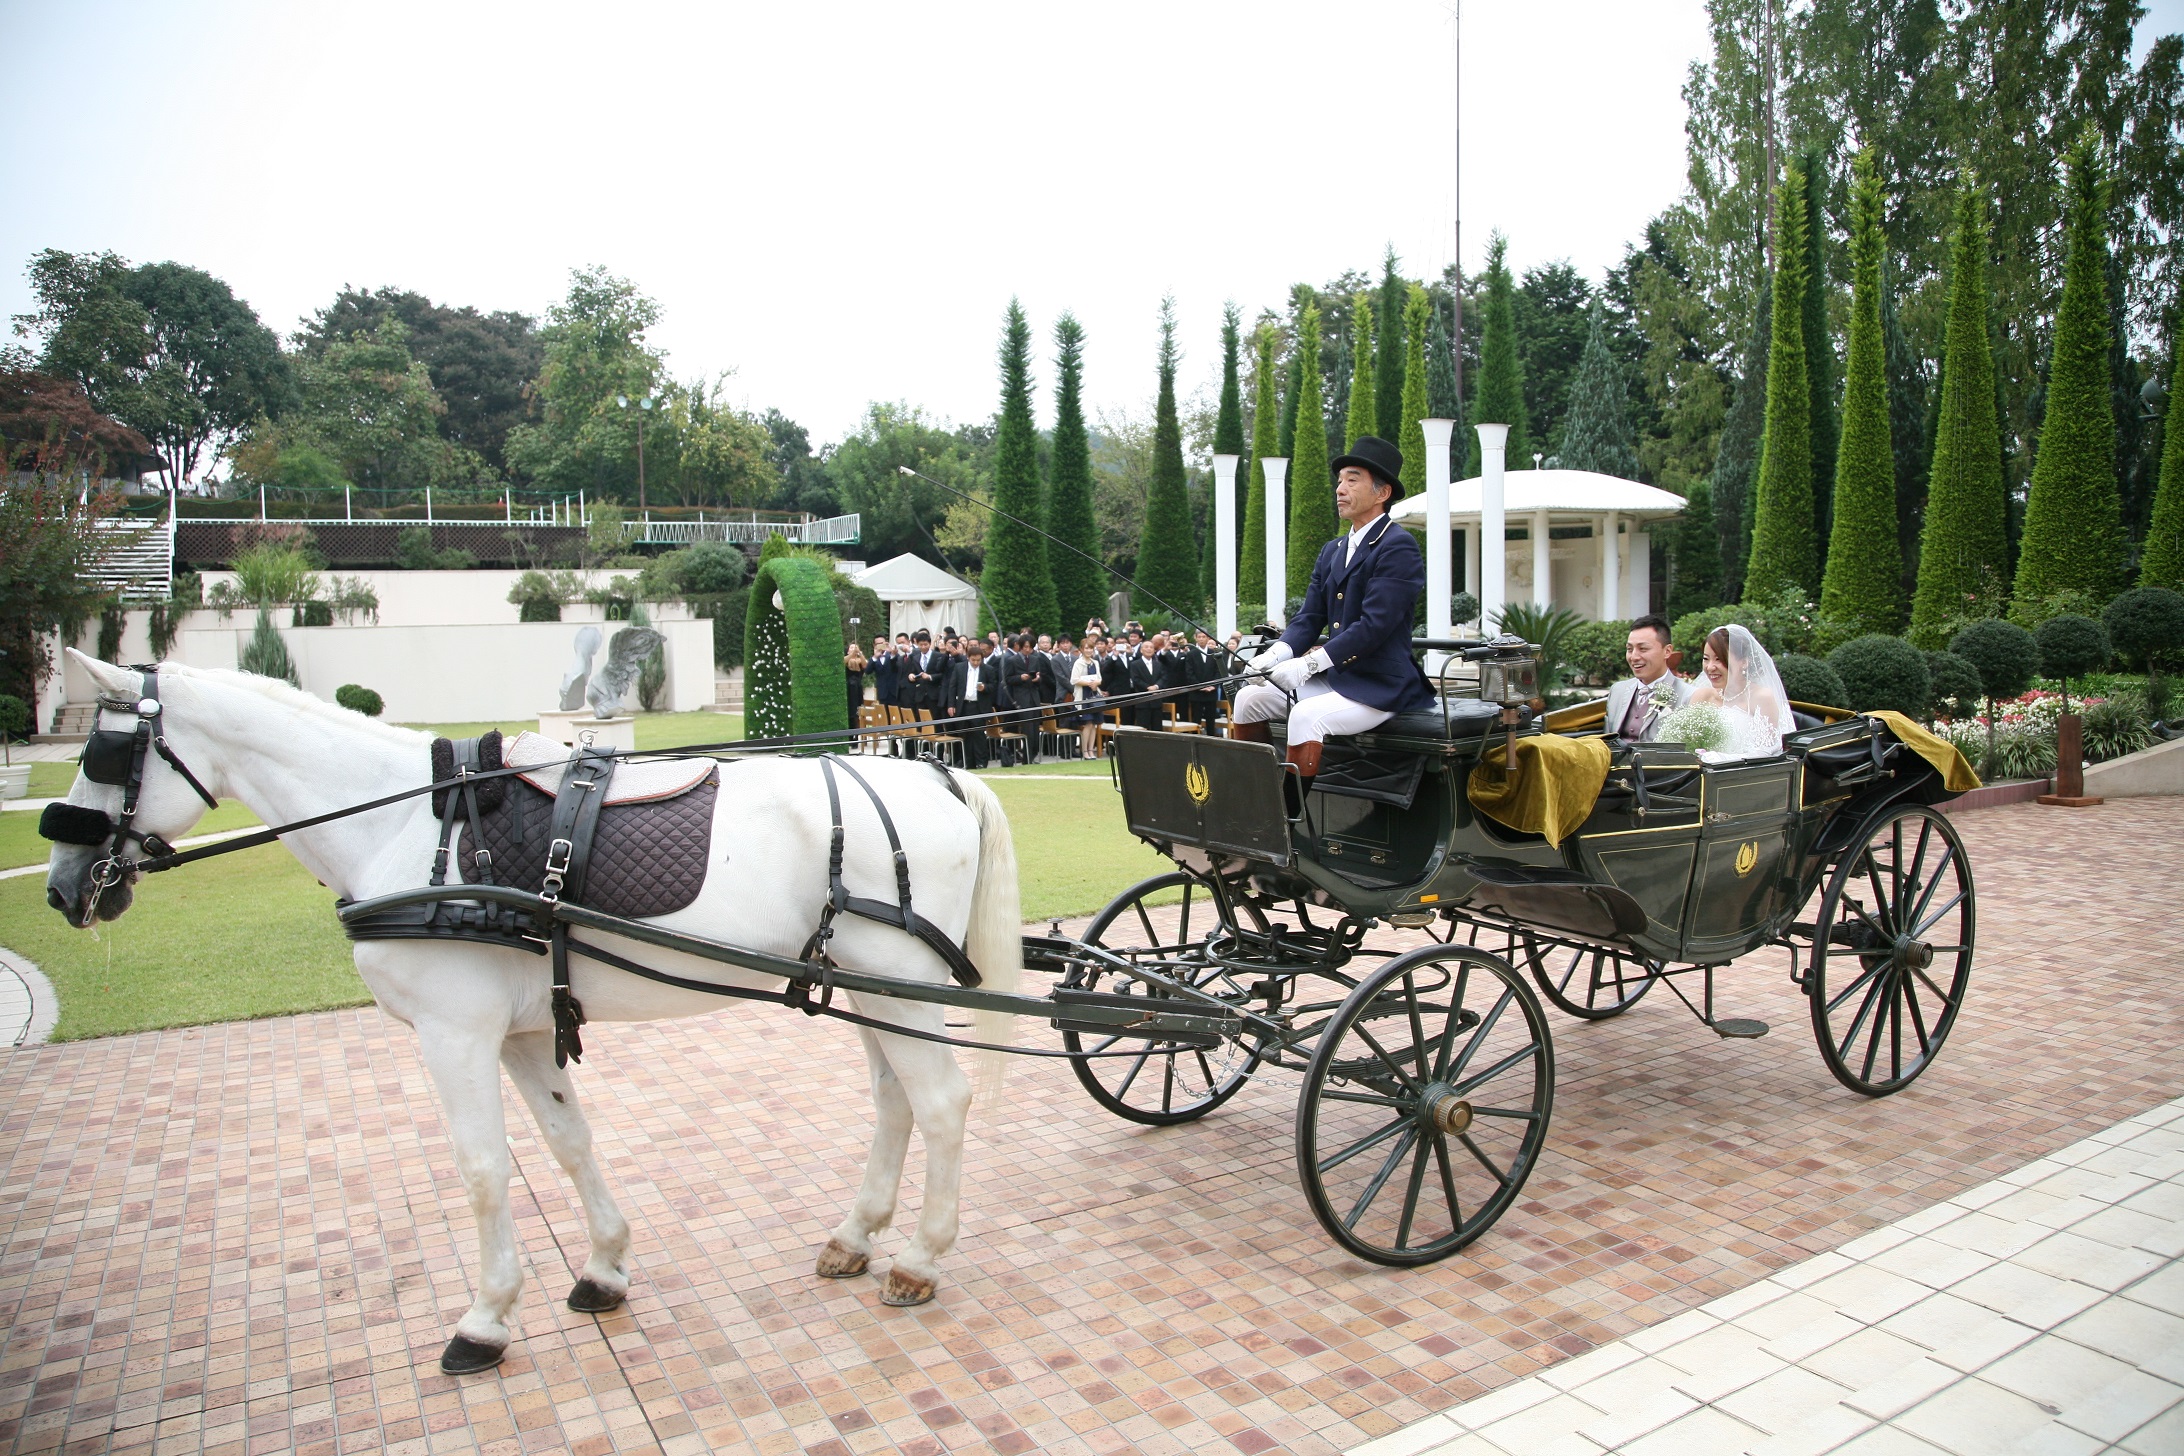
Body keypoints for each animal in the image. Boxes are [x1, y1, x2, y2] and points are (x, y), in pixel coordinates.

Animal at [44, 654, 1022, 1370]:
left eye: (101, 759)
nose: (61, 889)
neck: (418, 831)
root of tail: (938, 778)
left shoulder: (454, 1033)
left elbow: (483, 1171)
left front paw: (485, 1318)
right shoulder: (519, 1033)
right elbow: (567, 1143)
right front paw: (603, 1266)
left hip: (893, 977)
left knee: (943, 1103)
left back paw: (921, 1258)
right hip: (865, 982)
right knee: (896, 1101)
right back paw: (856, 1235)